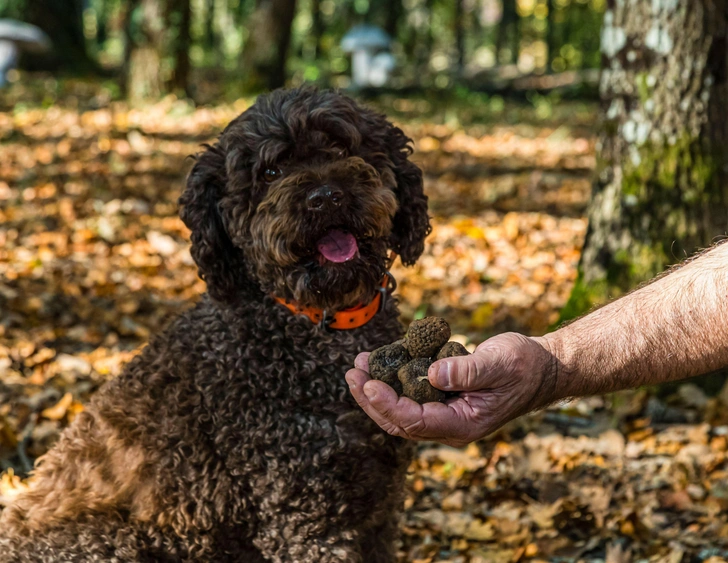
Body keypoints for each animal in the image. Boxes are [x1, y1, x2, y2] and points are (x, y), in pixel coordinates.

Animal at [0, 87, 430, 560]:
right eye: (270, 172)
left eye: (339, 147)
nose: (325, 196)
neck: (313, 322)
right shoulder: (306, 519)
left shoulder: (380, 510)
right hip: (113, 541)